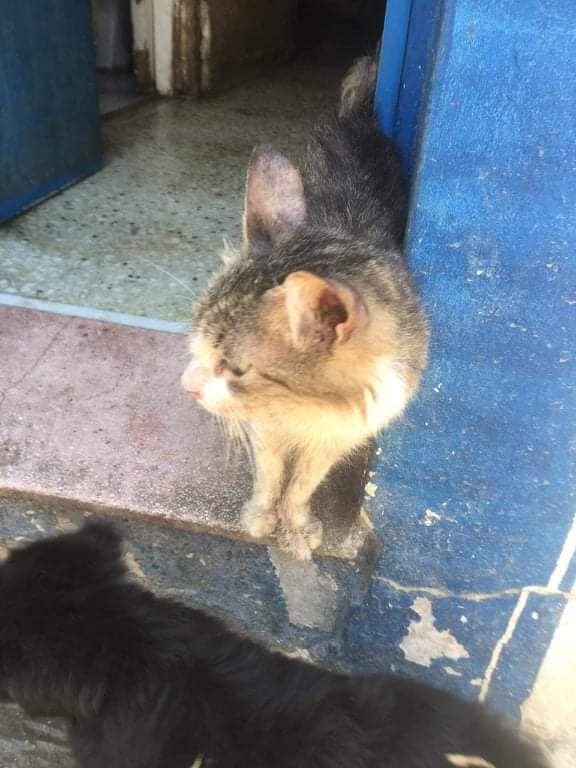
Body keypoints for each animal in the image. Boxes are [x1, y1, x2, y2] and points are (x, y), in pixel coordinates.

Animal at [181, 55, 429, 559]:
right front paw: (262, 514)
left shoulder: (340, 437)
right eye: (198, 343)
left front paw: (295, 524)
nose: (186, 385)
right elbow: (271, 473)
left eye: (237, 369)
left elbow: (303, 483)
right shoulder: (265, 428)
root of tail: (354, 119)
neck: (302, 407)